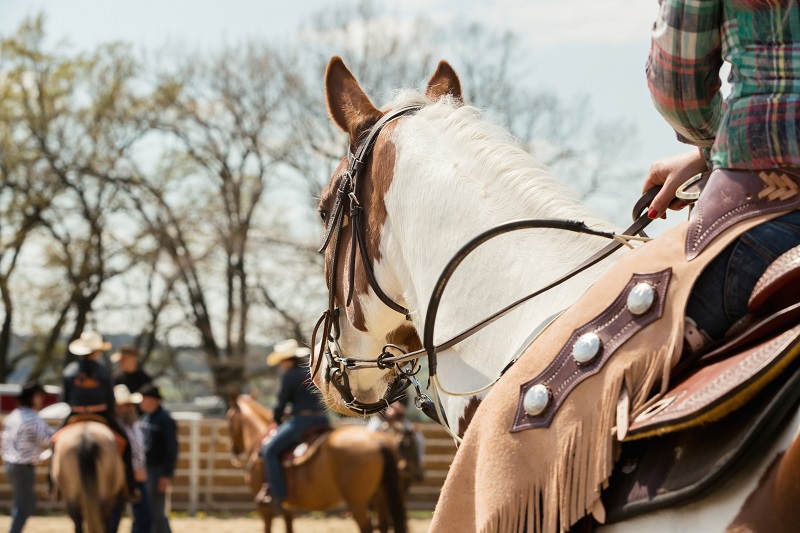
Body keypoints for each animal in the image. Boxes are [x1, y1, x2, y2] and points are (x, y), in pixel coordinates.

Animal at [226, 394, 407, 533]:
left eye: (229, 417)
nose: (234, 449)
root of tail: (376, 440)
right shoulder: (287, 507)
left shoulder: (265, 508)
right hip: (380, 497)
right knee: (383, 525)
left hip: (358, 502)